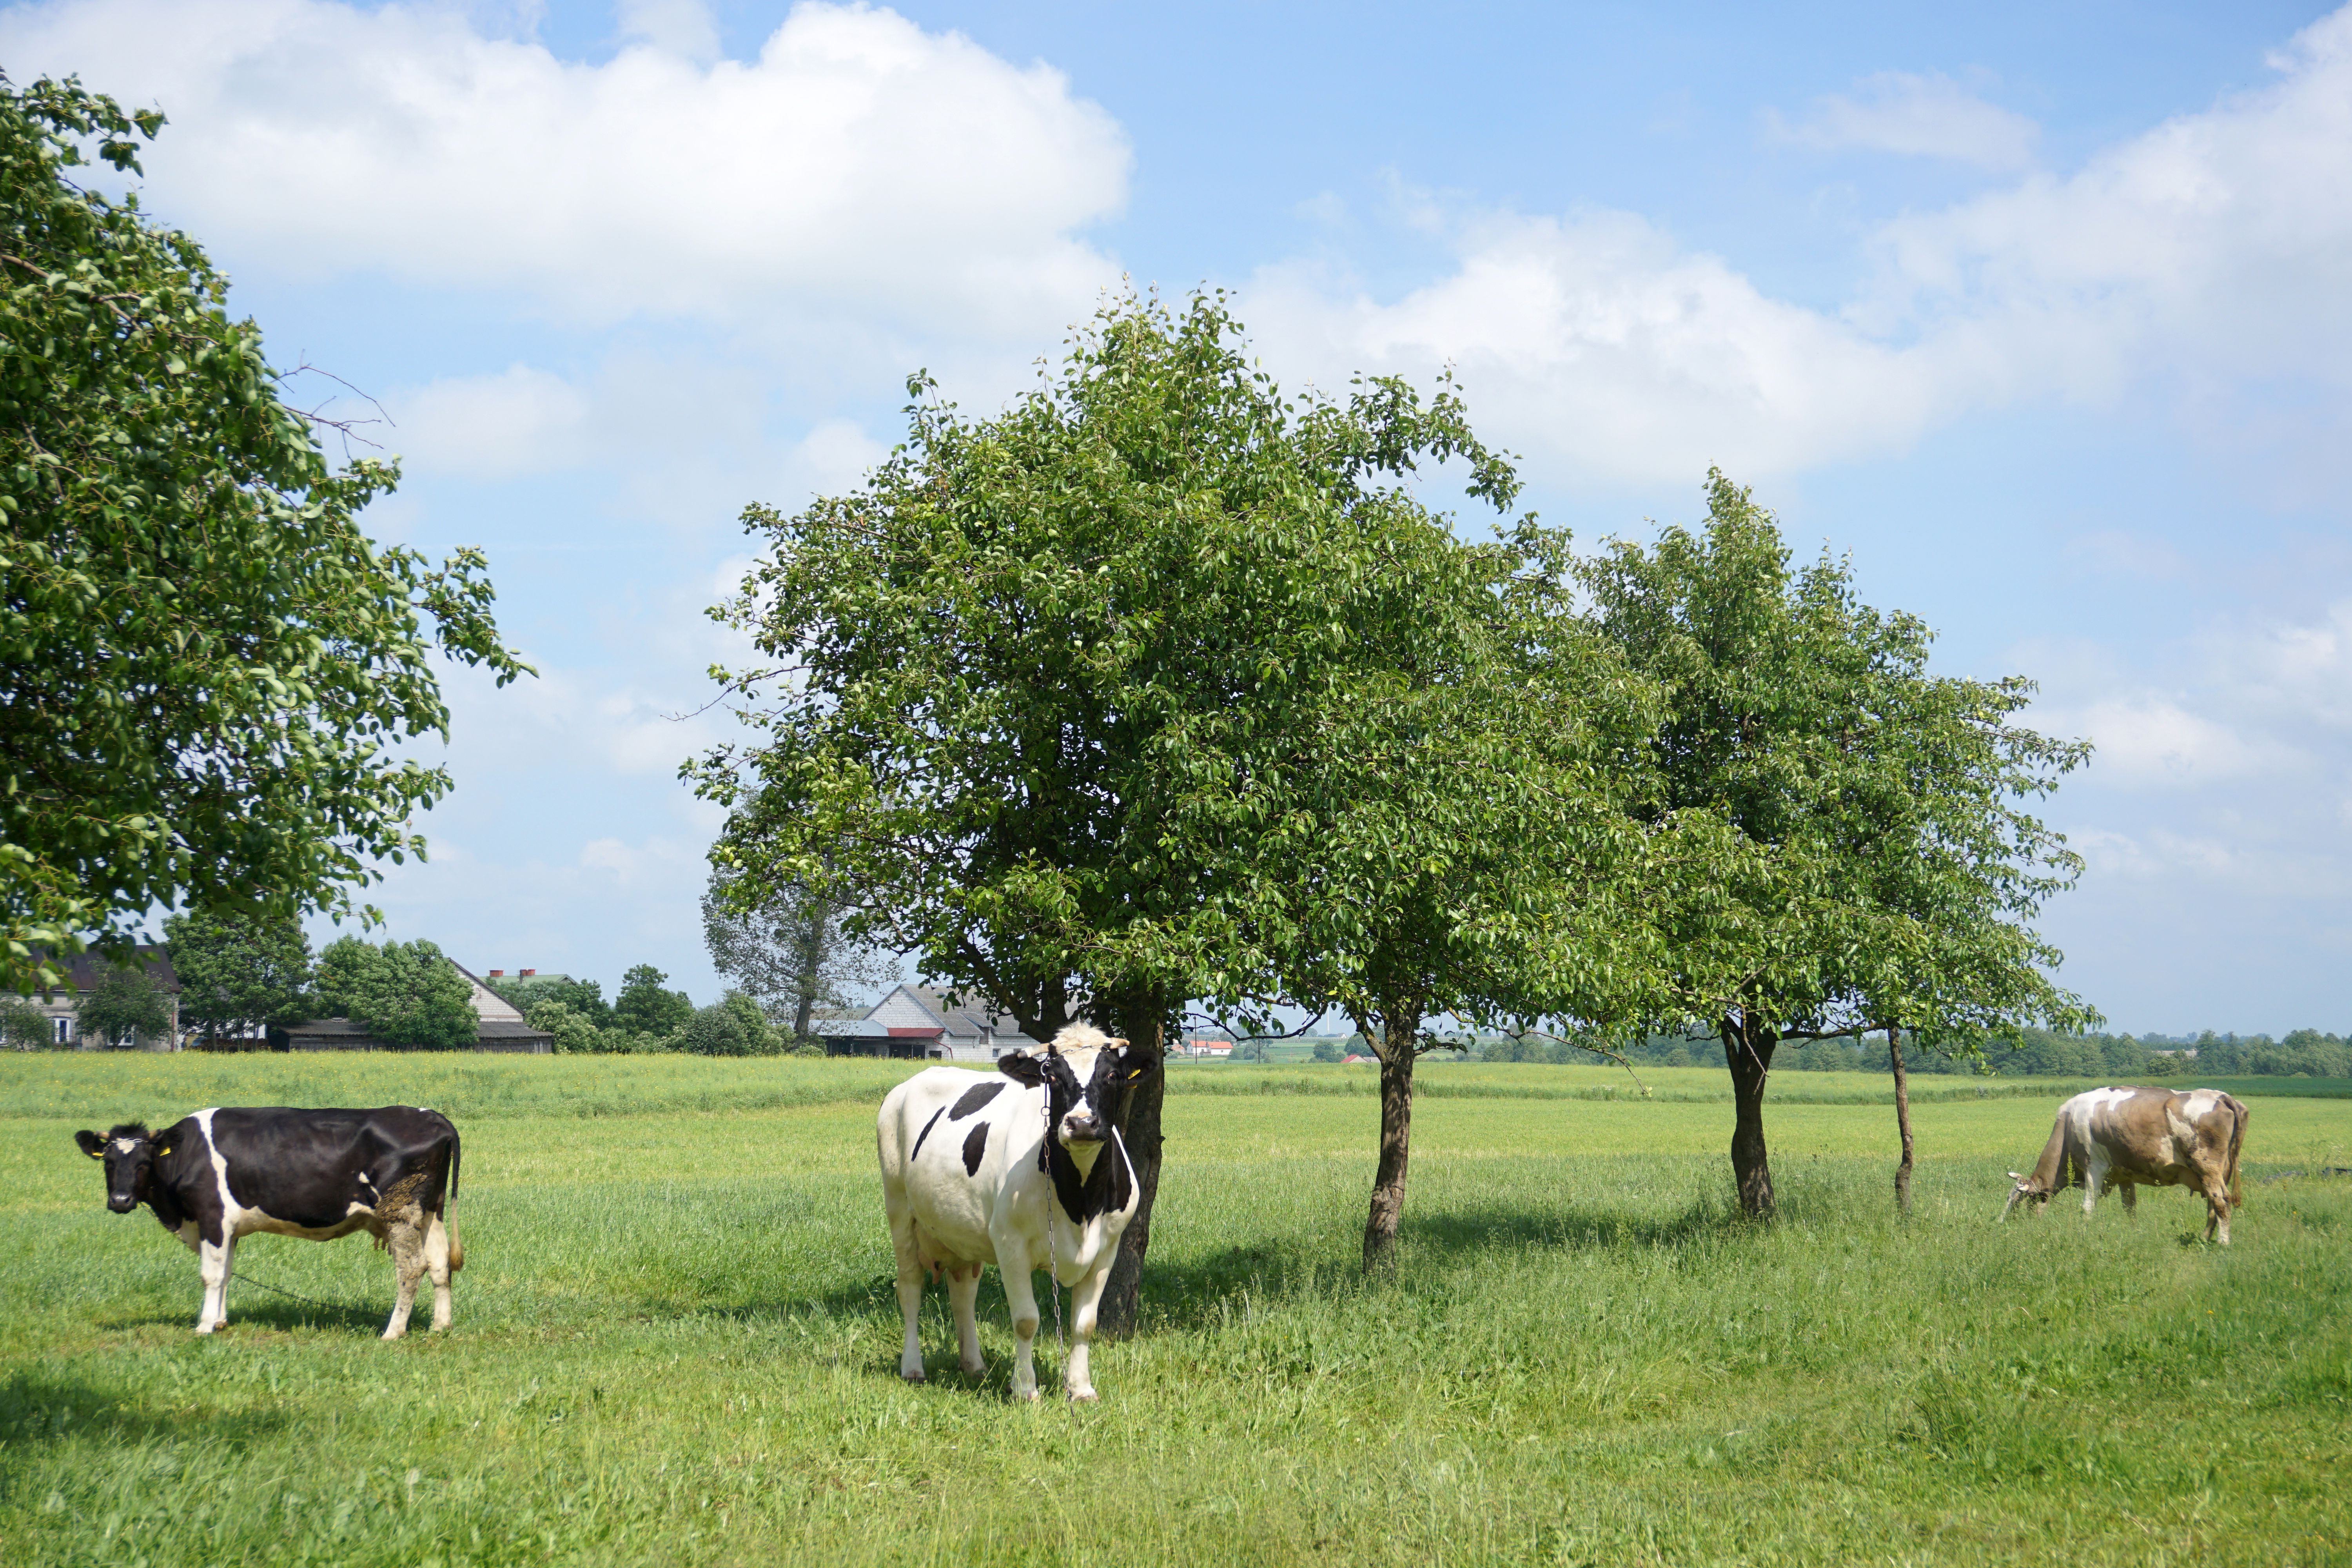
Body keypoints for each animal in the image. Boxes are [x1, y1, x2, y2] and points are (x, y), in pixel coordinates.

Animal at [74, 1107, 464, 1337]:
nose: (120, 1201)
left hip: (400, 1213)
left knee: (412, 1268)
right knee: (439, 1265)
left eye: (144, 1162)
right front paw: (220, 1320)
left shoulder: (212, 1216)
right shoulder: (229, 1228)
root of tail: (433, 1116)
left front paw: (204, 1326)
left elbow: (211, 1274)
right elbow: (227, 1272)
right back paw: (440, 1326)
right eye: (108, 1162)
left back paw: (393, 1332)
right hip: (429, 1212)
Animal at [877, 1022, 1157, 1402]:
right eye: (1052, 1077)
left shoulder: (1106, 1251)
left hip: (961, 1230)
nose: (1082, 1123)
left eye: (1112, 1075)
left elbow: (1084, 1324)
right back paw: (913, 1368)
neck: (1080, 1204)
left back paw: (974, 1365)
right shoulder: (1011, 1244)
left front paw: (1081, 1389)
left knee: (963, 1292)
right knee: (909, 1288)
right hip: (900, 1210)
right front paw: (1025, 1388)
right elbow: (1026, 1321)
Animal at [2000, 1086, 2249, 1243]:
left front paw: (2084, 1233)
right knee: (2212, 1206)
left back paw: (2222, 1243)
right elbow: (2130, 1208)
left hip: (2206, 1167)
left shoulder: (2095, 1166)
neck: (2068, 1126)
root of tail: (2221, 1096)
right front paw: (2134, 1232)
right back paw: (2203, 1240)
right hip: (2215, 1173)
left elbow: (2087, 1207)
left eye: (2017, 1202)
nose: (2002, 1225)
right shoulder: (2124, 1175)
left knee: (2221, 1202)